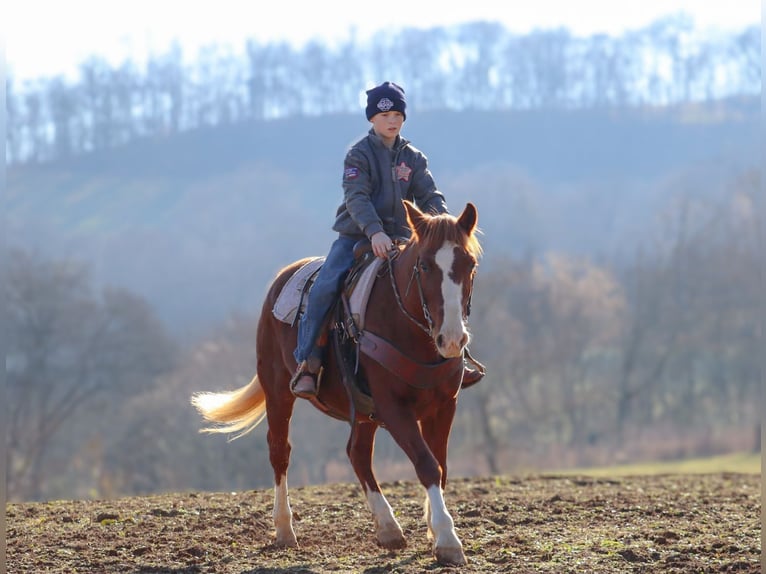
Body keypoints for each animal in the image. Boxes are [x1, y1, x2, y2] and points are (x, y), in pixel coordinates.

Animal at [191, 200, 482, 566]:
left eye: (469, 264)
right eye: (426, 265)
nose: (452, 339)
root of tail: (283, 278)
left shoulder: (443, 407)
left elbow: (440, 466)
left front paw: (433, 529)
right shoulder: (394, 408)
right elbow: (427, 464)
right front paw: (446, 539)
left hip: (364, 411)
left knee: (357, 453)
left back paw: (388, 528)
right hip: (278, 391)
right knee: (280, 451)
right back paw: (285, 530)